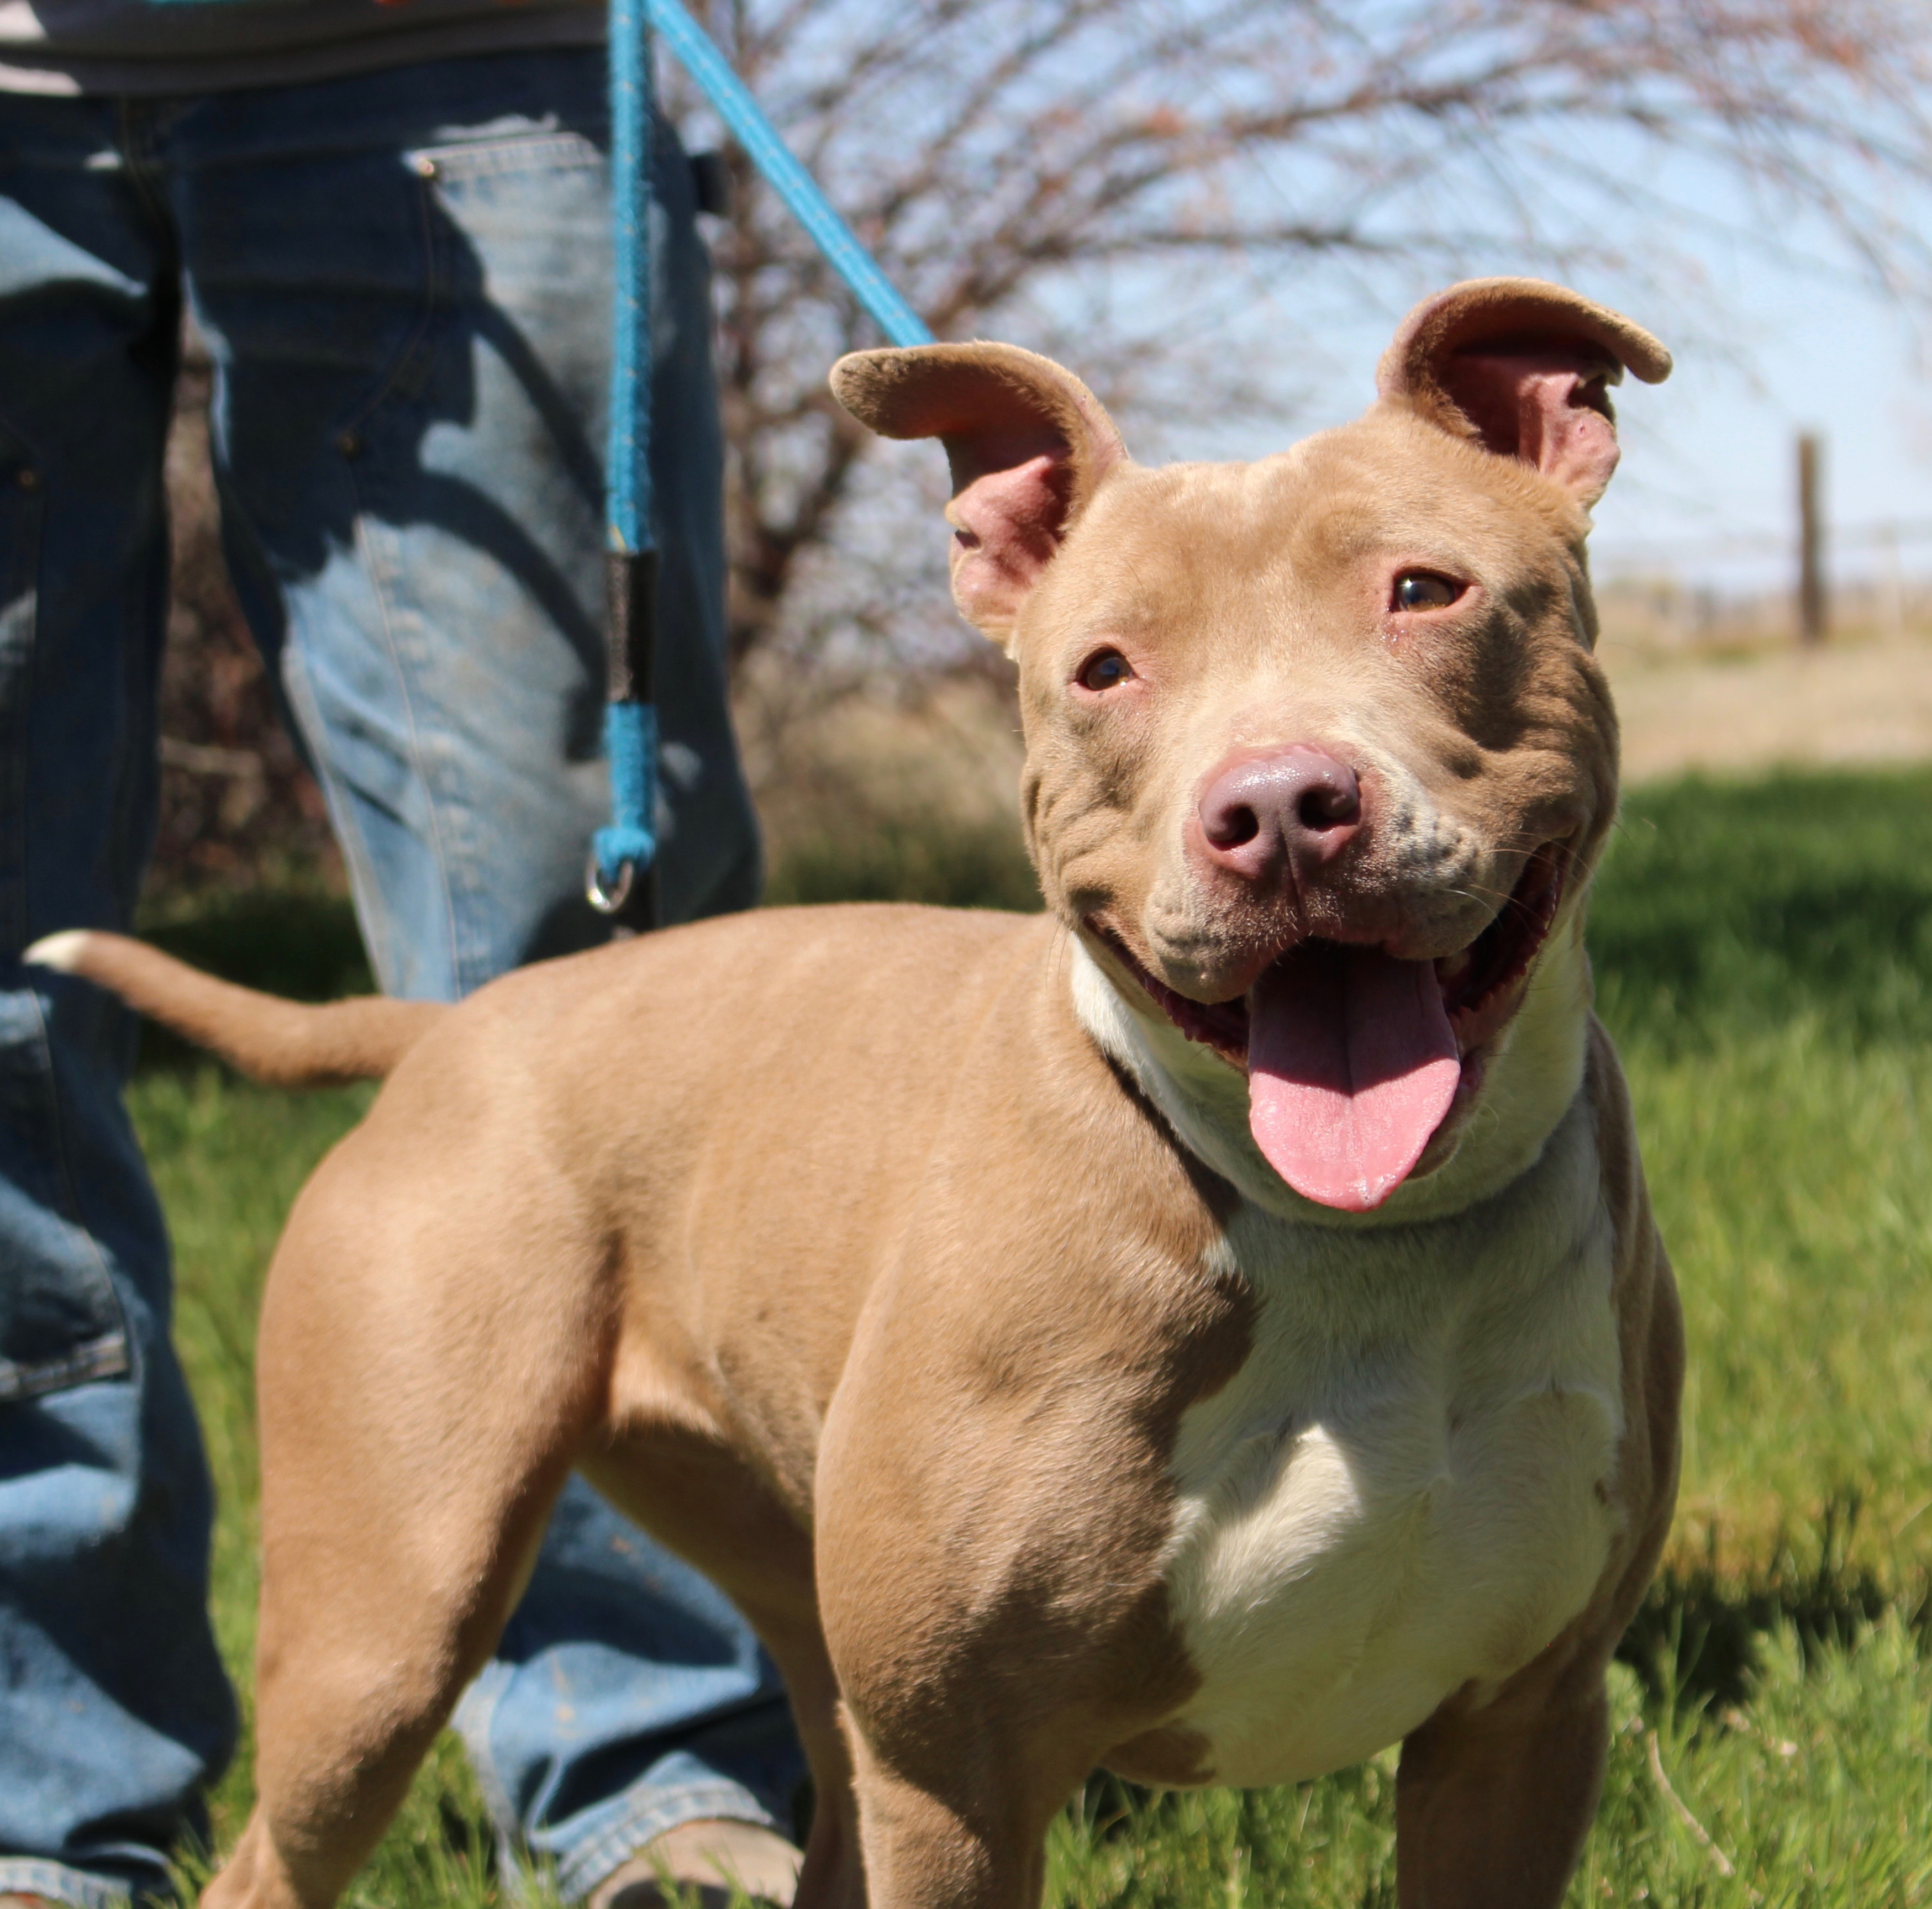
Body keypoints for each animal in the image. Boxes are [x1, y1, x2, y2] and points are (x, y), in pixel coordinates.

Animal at [38, 276, 1684, 1901]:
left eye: (1424, 591)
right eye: (1103, 669)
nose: (1279, 808)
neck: (1347, 1233)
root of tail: (452, 1029)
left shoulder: (1520, 1731)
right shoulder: (958, 1775)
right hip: (387, 1619)